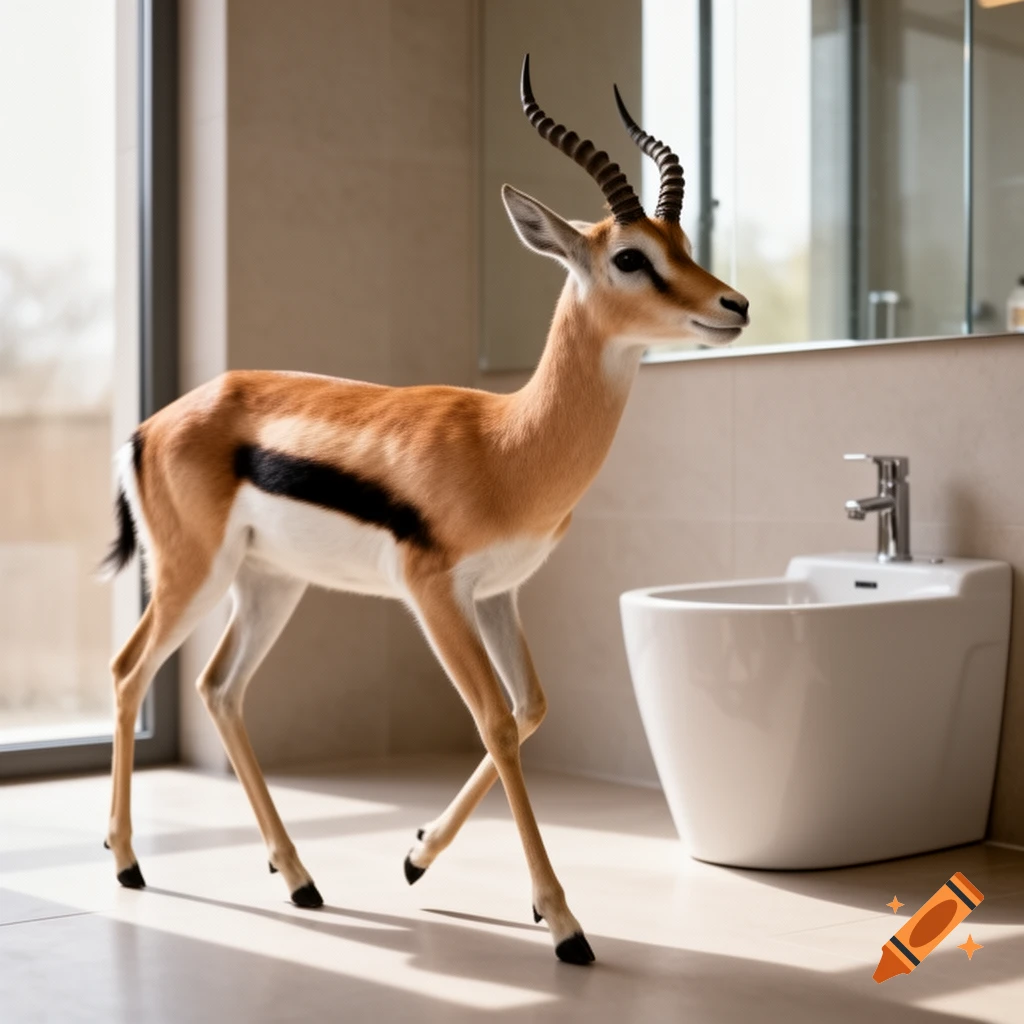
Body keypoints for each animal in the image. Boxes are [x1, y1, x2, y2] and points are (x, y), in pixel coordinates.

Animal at [101, 55, 748, 966]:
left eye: (684, 248)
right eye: (630, 256)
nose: (735, 306)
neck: (506, 445)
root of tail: (152, 424)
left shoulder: (500, 594)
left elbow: (530, 708)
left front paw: (415, 857)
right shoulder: (434, 593)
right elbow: (496, 722)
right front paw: (565, 924)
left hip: (269, 585)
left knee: (217, 688)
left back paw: (299, 879)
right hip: (195, 575)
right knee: (130, 672)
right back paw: (128, 864)